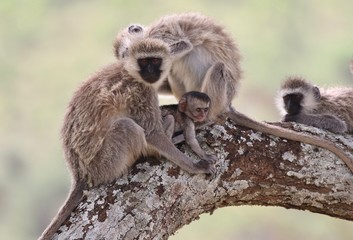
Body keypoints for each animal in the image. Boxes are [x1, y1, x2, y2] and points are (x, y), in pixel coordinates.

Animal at [38, 37, 214, 240]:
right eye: (144, 61)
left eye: (155, 60)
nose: (151, 72)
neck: (131, 72)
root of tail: (80, 174)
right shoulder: (141, 92)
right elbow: (152, 133)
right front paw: (195, 166)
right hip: (105, 164)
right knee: (128, 127)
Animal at [113, 12, 353, 172]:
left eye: (127, 52)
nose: (126, 63)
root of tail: (228, 103)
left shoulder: (161, 38)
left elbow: (184, 46)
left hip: (218, 96)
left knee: (216, 69)